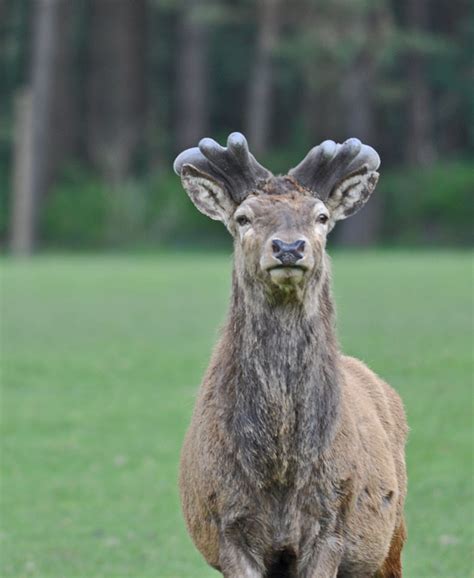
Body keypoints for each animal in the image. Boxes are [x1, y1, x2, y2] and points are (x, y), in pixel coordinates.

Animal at [174, 134, 408, 576]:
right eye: (243, 218)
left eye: (321, 216)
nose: (288, 247)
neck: (281, 469)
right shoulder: (226, 525)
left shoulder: (332, 520)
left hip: (391, 538)